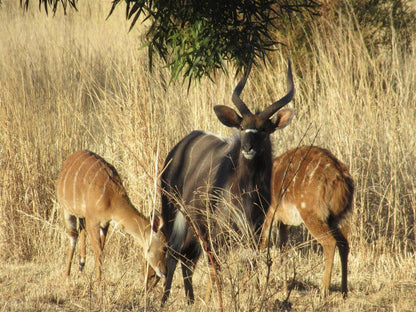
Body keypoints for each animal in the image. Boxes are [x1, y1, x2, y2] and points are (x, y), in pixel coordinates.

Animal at [56, 151, 167, 286]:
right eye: (165, 247)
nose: (164, 272)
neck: (112, 198)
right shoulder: (93, 220)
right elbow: (98, 251)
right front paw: (98, 281)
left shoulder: (105, 223)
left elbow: (102, 249)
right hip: (66, 209)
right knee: (73, 236)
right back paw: (67, 275)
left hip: (81, 215)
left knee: (81, 229)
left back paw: (81, 265)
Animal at [161, 61, 294, 304]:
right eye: (242, 127)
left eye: (264, 129)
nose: (248, 147)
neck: (245, 193)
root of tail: (178, 147)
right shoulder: (217, 237)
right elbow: (218, 271)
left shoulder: (254, 235)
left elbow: (252, 266)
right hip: (173, 213)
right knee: (174, 253)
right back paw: (164, 299)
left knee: (187, 257)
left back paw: (190, 300)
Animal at [260, 146, 354, 298]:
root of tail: (342, 180)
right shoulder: (283, 222)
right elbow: (283, 249)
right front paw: (285, 289)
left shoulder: (268, 214)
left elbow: (263, 245)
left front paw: (262, 286)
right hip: (337, 217)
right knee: (344, 244)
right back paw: (343, 291)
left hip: (312, 214)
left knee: (330, 242)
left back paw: (323, 291)